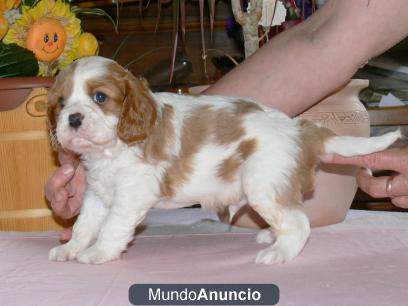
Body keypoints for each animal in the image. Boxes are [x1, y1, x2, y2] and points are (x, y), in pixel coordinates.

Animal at [47, 56, 398, 264]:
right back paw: (272, 236)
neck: (112, 148)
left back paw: (279, 252)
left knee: (299, 222)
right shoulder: (97, 194)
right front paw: (70, 249)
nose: (73, 119)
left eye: (100, 97)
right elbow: (84, 225)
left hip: (264, 185)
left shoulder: (130, 194)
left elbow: (110, 227)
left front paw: (97, 253)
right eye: (61, 103)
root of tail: (299, 128)